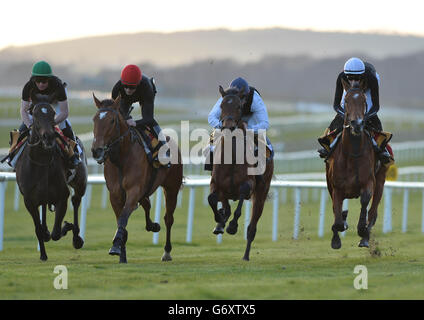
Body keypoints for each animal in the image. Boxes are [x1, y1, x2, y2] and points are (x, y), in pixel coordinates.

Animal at [15, 92, 88, 260]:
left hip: (80, 182)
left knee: (76, 200)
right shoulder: (29, 200)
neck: (41, 163)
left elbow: (56, 233)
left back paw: (76, 238)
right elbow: (39, 230)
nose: (48, 136)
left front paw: (67, 226)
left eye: (53, 113)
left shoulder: (62, 197)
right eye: (34, 114)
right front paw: (43, 254)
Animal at [91, 94, 182, 262]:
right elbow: (121, 219)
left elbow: (123, 218)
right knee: (147, 204)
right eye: (94, 119)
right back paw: (152, 225)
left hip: (172, 188)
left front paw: (115, 246)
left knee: (168, 218)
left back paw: (167, 251)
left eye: (112, 121)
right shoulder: (115, 194)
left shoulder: (133, 190)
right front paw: (122, 253)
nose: (96, 150)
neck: (121, 159)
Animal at [207, 85, 274, 260]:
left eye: (238, 106)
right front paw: (219, 220)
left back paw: (245, 255)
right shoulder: (215, 184)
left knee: (252, 227)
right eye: (222, 105)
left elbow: (241, 197)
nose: (228, 126)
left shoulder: (248, 185)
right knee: (226, 205)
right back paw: (221, 221)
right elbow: (212, 199)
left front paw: (232, 226)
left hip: (261, 193)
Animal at [324, 80, 388, 250]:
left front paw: (362, 230)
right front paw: (336, 238)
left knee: (373, 212)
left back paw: (365, 237)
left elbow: (365, 202)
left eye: (364, 101)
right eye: (346, 100)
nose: (357, 124)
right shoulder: (336, 187)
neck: (352, 154)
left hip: (381, 180)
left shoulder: (369, 182)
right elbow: (337, 217)